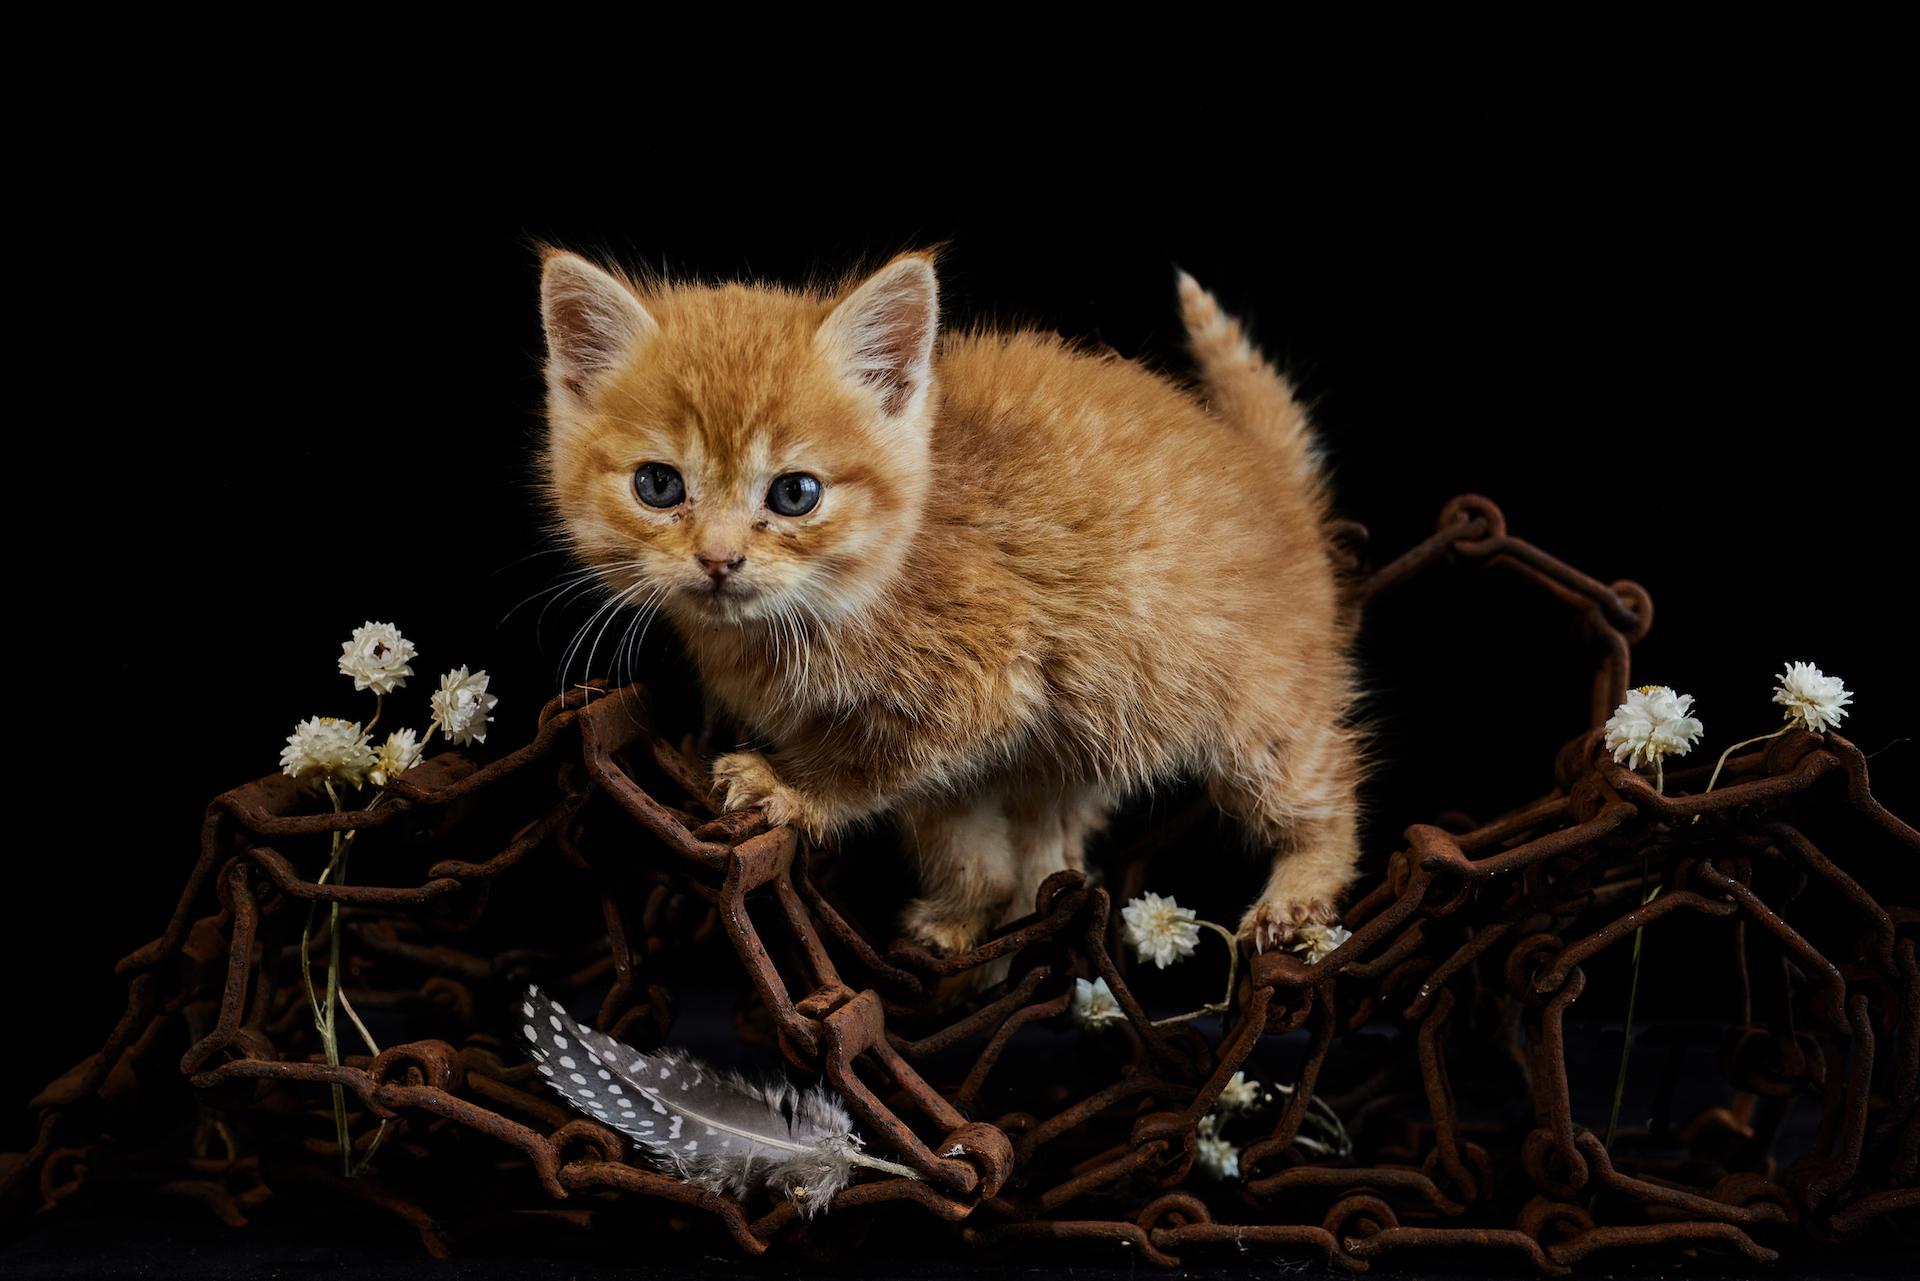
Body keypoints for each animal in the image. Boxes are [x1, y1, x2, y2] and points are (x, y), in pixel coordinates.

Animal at [533, 245, 1359, 956]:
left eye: (795, 493)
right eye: (658, 485)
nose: (717, 559)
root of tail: (1274, 480)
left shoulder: (984, 686)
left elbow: (865, 763)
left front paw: (793, 786)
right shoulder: (976, 755)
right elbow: (963, 838)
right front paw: (968, 912)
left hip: (1257, 709)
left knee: (1327, 788)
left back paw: (1297, 892)